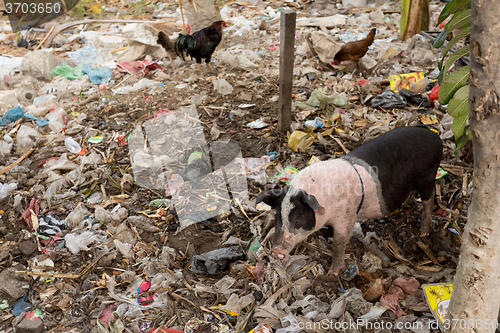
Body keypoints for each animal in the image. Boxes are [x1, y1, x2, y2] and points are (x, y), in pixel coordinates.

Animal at [258, 126, 442, 274]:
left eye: (299, 216)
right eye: (278, 215)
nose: (275, 250)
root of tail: (435, 137)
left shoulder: (346, 217)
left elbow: (338, 246)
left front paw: (332, 274)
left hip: (427, 175)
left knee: (429, 199)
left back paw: (423, 232)